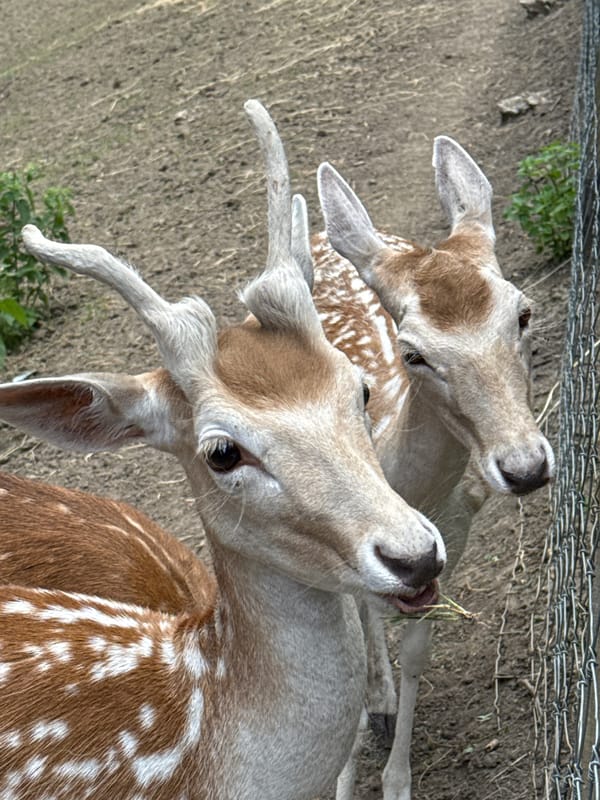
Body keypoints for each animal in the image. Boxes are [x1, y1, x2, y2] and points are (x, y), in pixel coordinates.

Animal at [312, 138, 555, 800]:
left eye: (523, 313)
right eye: (413, 352)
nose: (524, 467)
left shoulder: (456, 537)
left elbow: (418, 654)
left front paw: (397, 780)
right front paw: (344, 775)